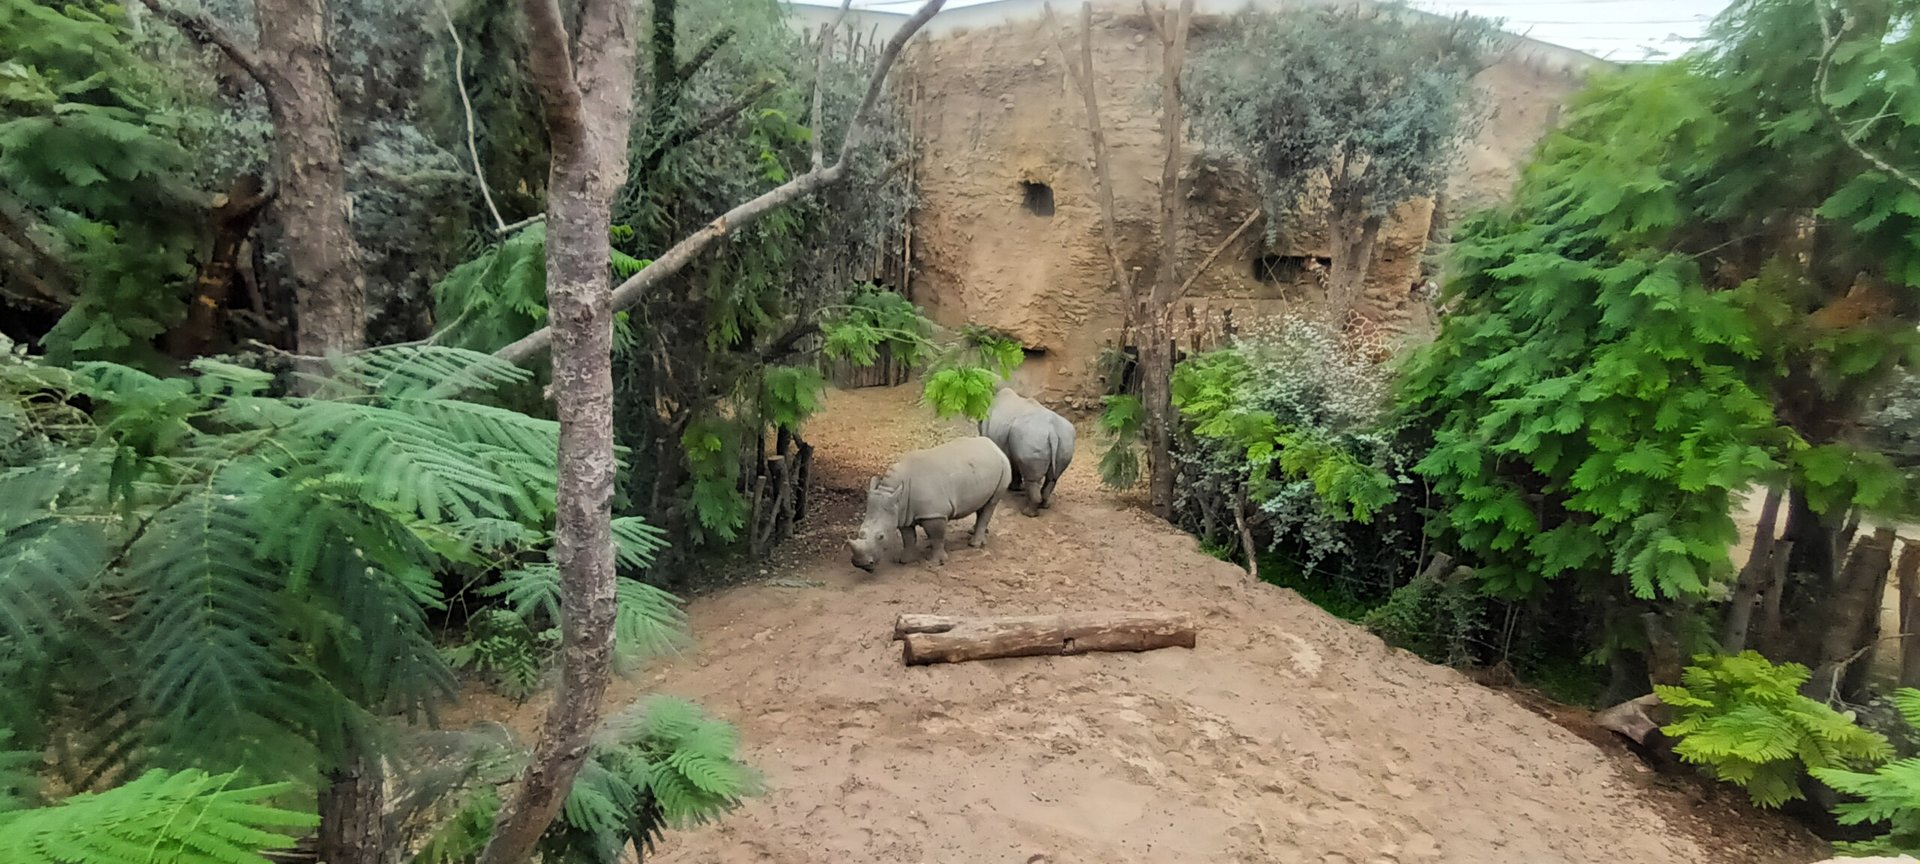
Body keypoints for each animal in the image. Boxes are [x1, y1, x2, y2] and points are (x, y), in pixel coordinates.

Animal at [848, 435, 1012, 571]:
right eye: (860, 531)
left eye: (881, 536)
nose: (860, 564)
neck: (893, 491)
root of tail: (994, 445)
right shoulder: (902, 512)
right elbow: (908, 537)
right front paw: (905, 561)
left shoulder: (933, 514)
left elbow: (936, 537)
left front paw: (935, 563)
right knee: (983, 504)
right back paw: (974, 532)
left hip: (1004, 465)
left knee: (991, 503)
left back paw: (974, 544)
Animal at [979, 386, 1076, 517]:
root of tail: (1052, 431)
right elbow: (1015, 465)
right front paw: (1016, 488)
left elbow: (1013, 467)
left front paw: (1014, 488)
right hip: (1065, 438)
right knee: (1053, 478)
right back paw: (1044, 506)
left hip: (1032, 437)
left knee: (1032, 479)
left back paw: (1028, 513)